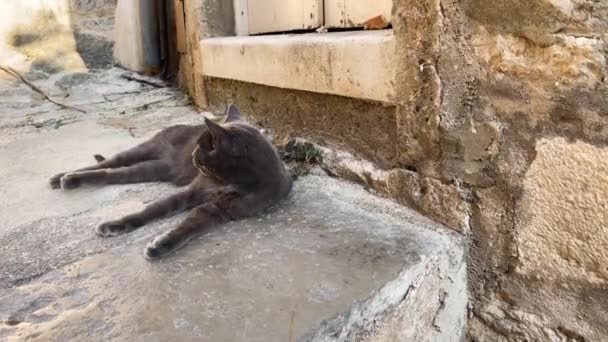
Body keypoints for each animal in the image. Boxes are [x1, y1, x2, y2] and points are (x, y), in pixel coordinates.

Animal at [50, 105, 292, 260]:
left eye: (203, 147)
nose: (192, 153)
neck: (226, 182)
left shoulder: (220, 209)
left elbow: (189, 225)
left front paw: (161, 245)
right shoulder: (193, 190)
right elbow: (153, 209)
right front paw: (116, 223)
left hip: (154, 168)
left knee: (114, 173)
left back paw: (64, 178)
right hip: (145, 149)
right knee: (109, 164)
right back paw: (64, 177)